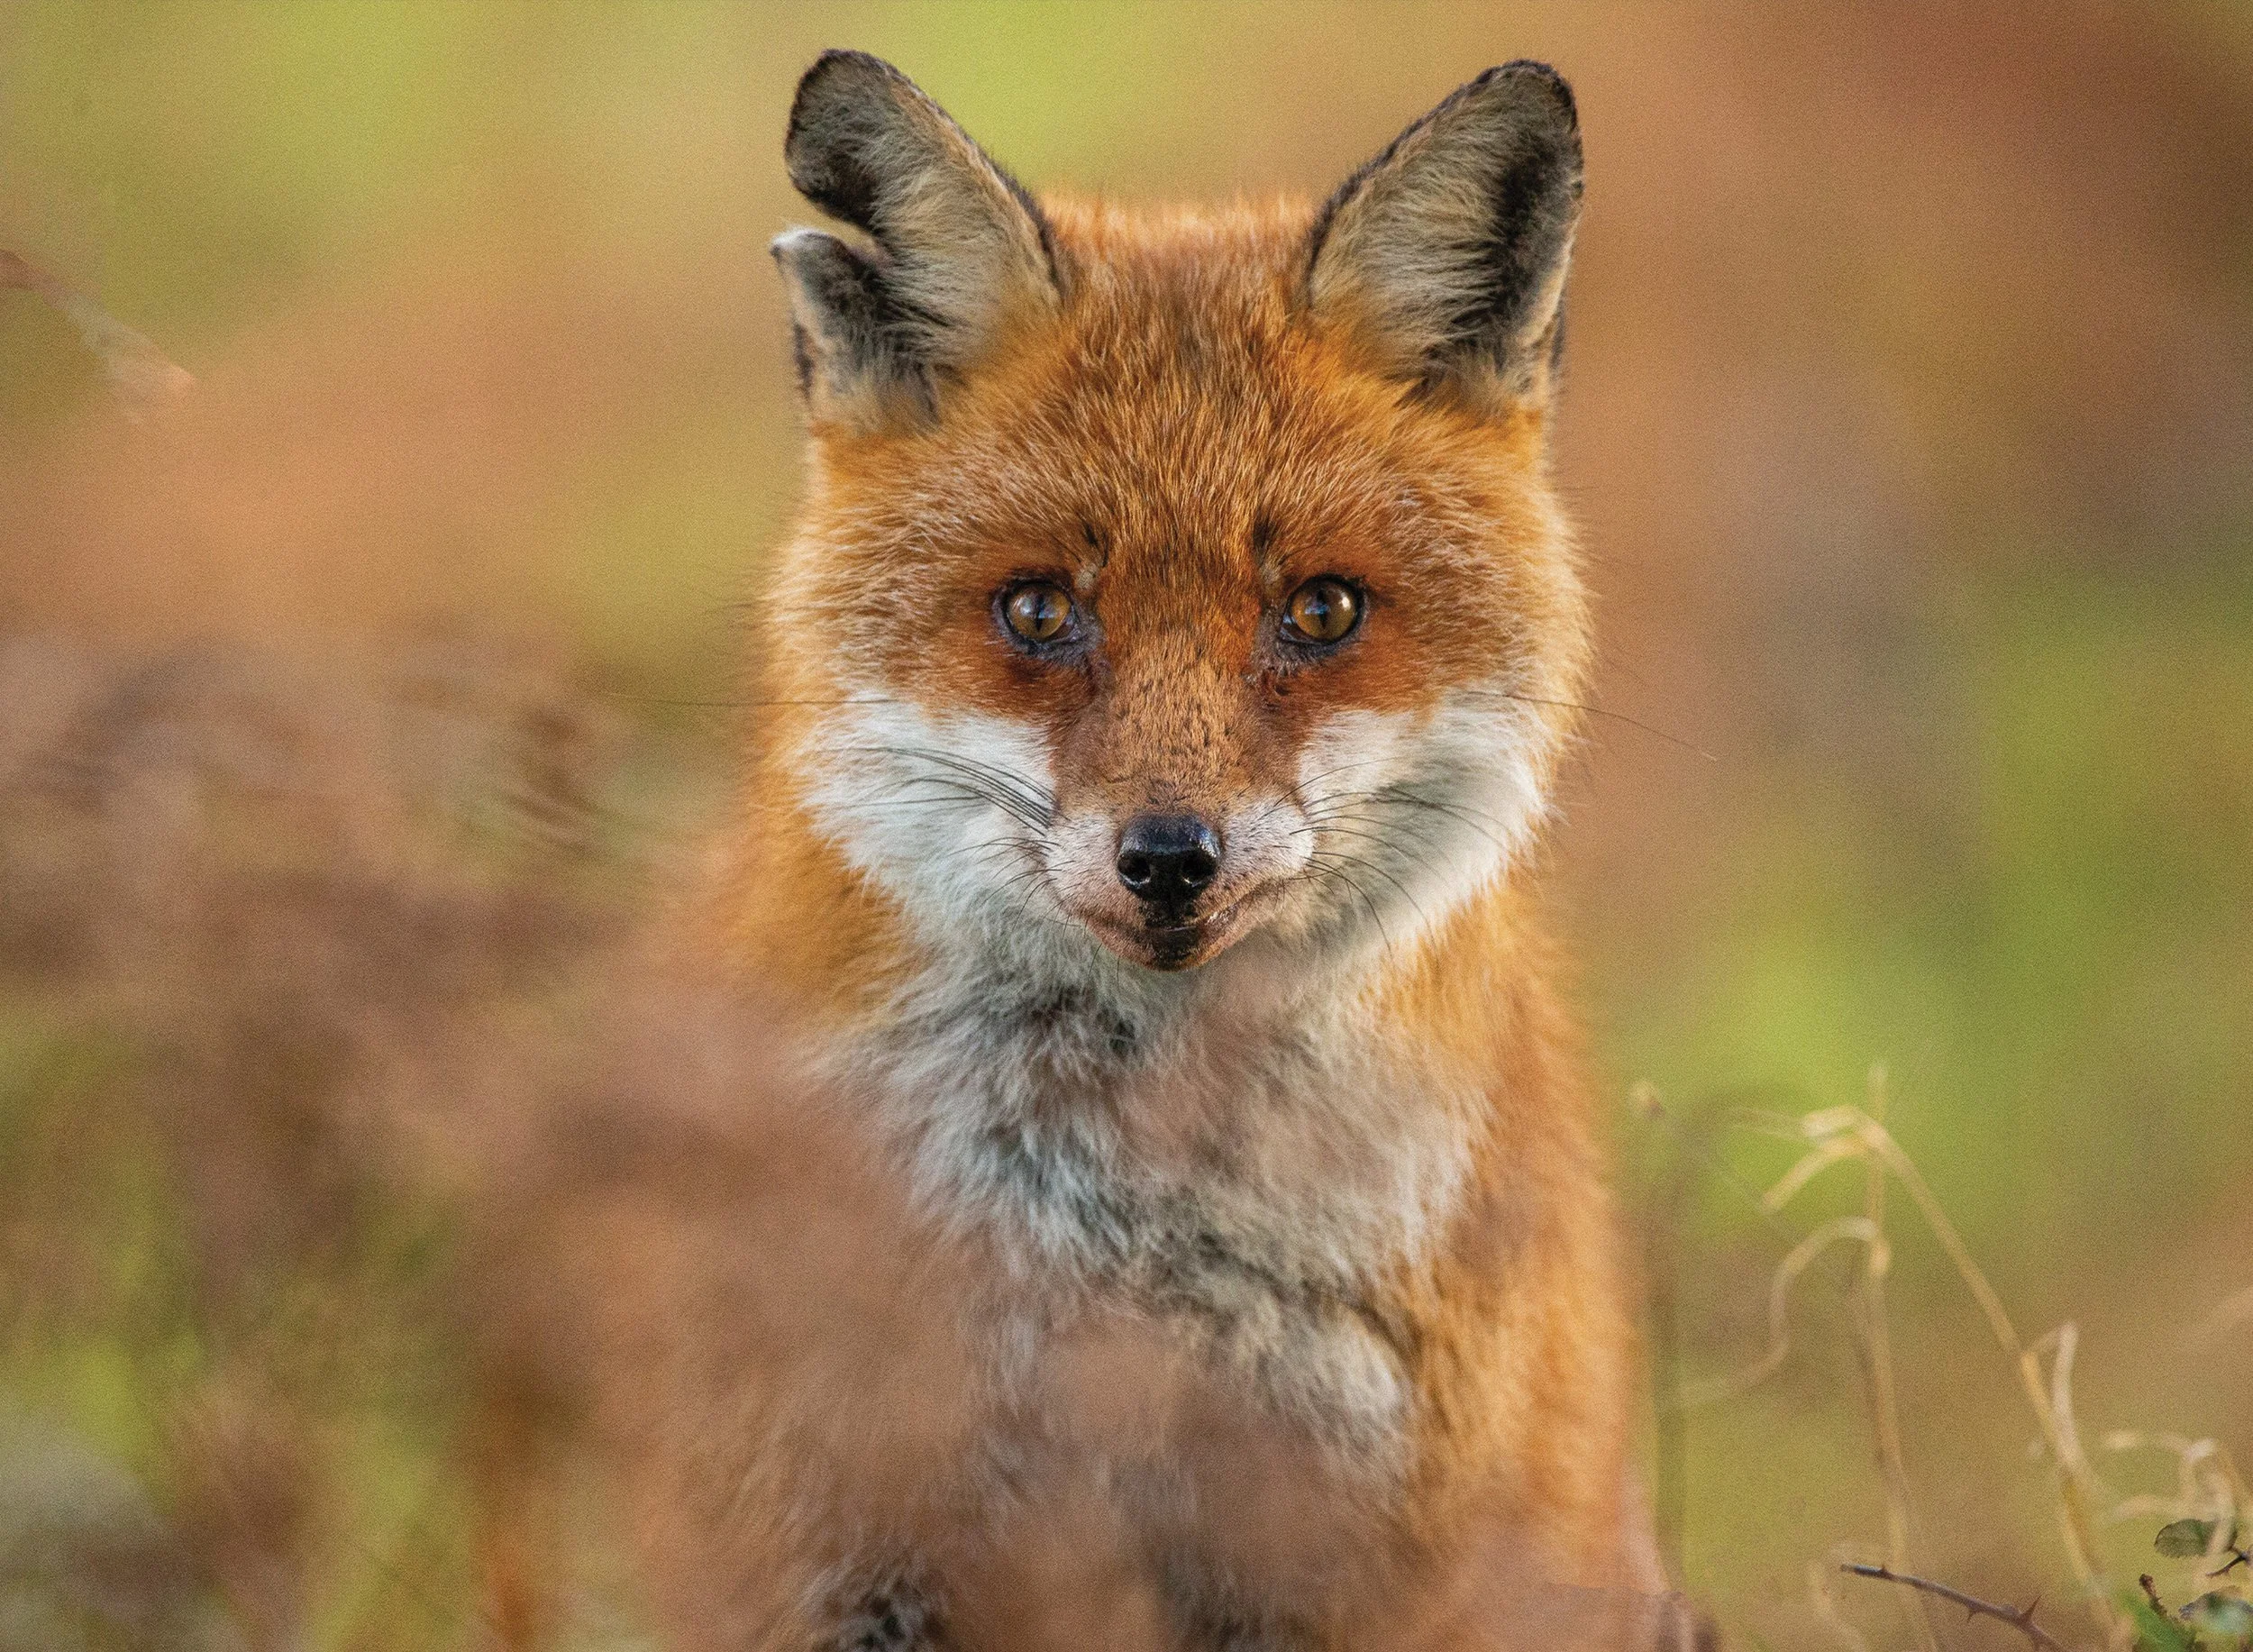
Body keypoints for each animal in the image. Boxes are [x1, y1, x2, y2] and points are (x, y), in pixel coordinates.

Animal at [500, 48, 1688, 1652]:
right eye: (1039, 610)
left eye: (1321, 610)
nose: (1173, 856)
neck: (1124, 1246)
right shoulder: (826, 1529)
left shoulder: (1352, 1552)